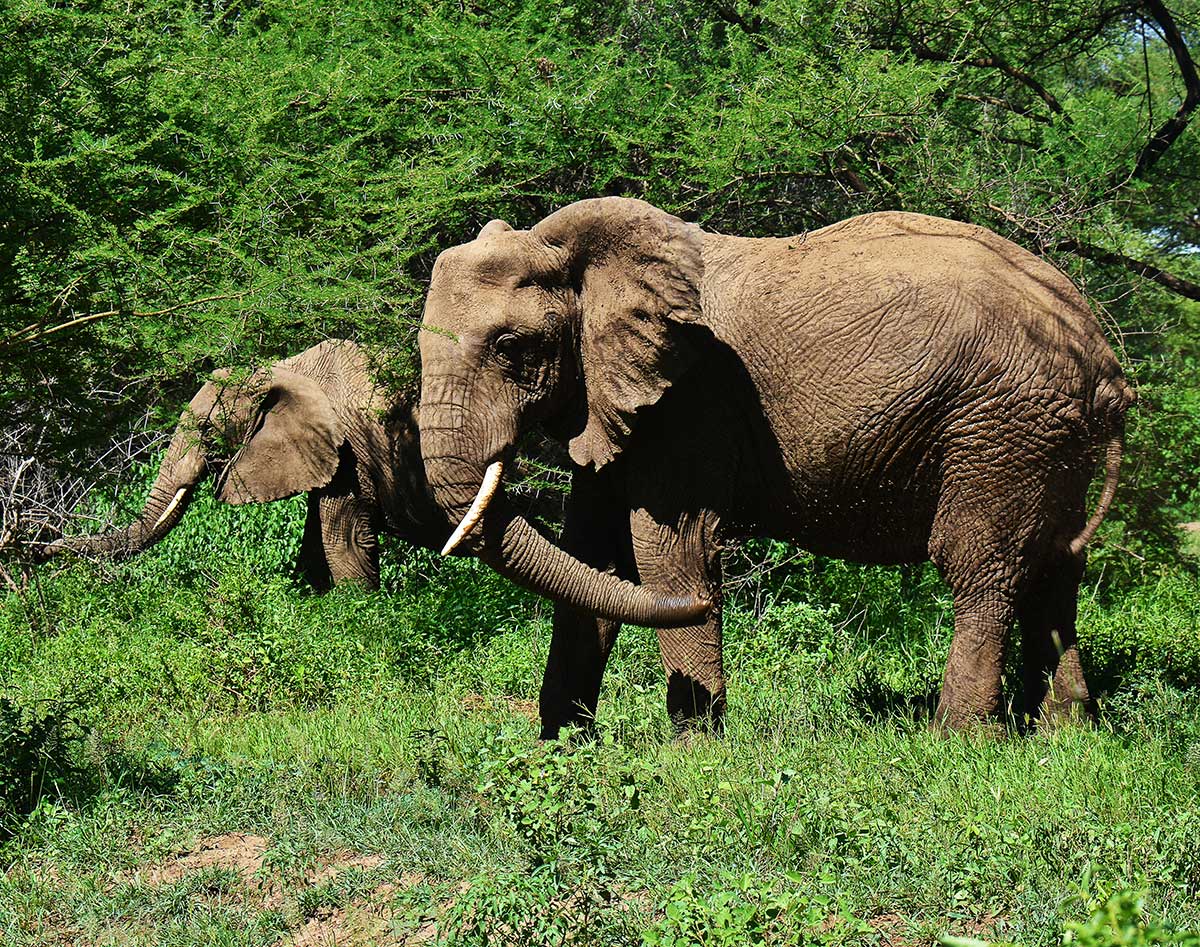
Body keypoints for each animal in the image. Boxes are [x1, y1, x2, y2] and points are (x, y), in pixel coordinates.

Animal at [41, 340, 453, 588]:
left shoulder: (350, 454)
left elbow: (345, 543)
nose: (42, 549)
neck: (285, 369)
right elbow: (314, 549)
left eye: (207, 431)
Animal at [415, 198, 1132, 729]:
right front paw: (565, 750)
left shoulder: (691, 398)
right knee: (1055, 569)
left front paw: (695, 756)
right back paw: (1066, 738)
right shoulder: (613, 396)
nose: (708, 600)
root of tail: (1102, 354)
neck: (571, 253)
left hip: (1001, 425)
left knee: (982, 569)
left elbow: (668, 547)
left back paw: (958, 744)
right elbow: (594, 555)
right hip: (1046, 437)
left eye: (511, 346)